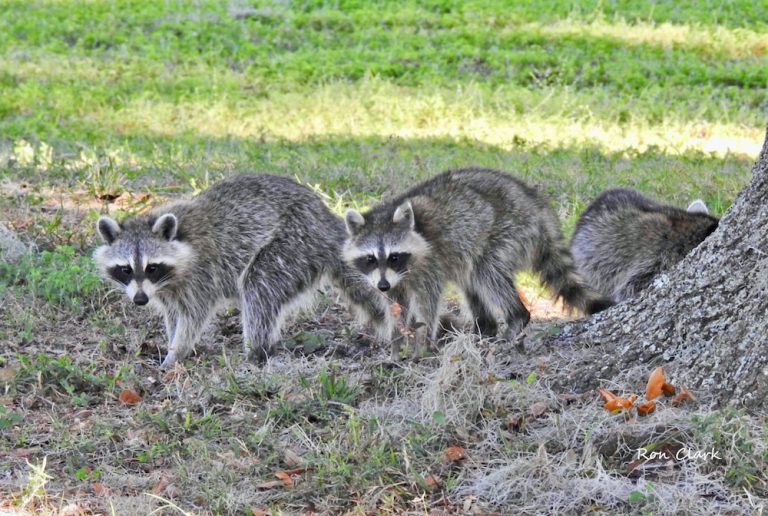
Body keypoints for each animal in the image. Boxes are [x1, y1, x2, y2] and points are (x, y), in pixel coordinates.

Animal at [92, 173, 388, 366]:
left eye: (152, 267)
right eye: (125, 269)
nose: (140, 300)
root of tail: (326, 220)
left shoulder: (200, 274)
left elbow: (192, 315)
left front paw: (175, 353)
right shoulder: (167, 289)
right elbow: (174, 315)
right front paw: (172, 343)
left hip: (293, 243)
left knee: (258, 286)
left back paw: (255, 351)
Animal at [344, 167, 612, 356]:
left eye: (394, 256)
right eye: (370, 259)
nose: (382, 286)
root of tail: (538, 207)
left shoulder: (429, 263)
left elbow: (428, 302)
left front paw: (422, 341)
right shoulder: (392, 279)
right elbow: (396, 304)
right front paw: (397, 339)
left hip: (510, 231)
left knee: (487, 273)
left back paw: (515, 317)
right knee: (470, 281)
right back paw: (485, 328)